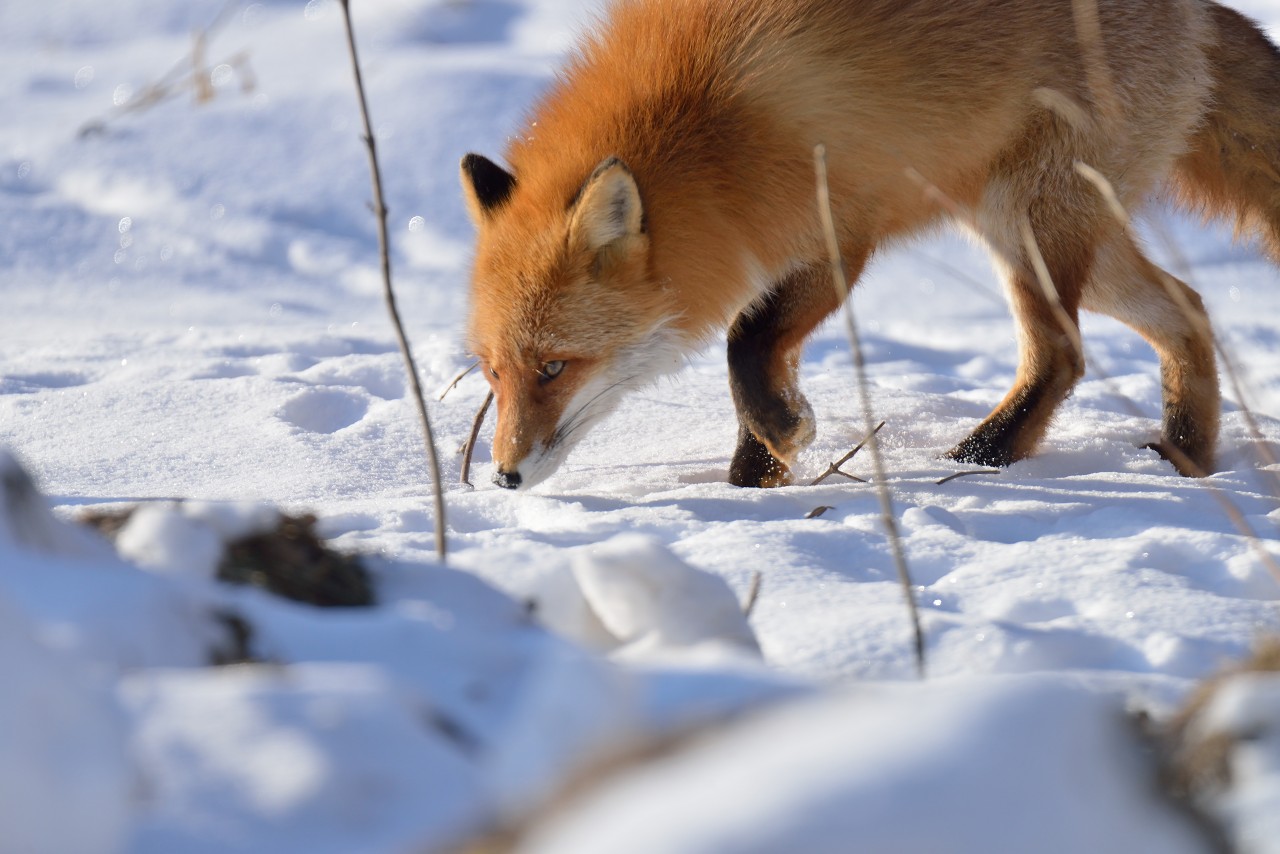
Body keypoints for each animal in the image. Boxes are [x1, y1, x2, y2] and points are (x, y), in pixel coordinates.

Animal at [460, 0, 1280, 491]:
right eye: (494, 373)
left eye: (555, 367)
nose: (501, 477)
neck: (711, 130)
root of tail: (1193, 12)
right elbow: (761, 365)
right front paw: (756, 484)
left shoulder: (837, 236)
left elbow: (745, 342)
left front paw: (781, 440)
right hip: (1064, 231)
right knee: (1189, 309)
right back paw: (1188, 456)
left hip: (1024, 222)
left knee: (1062, 352)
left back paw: (981, 461)